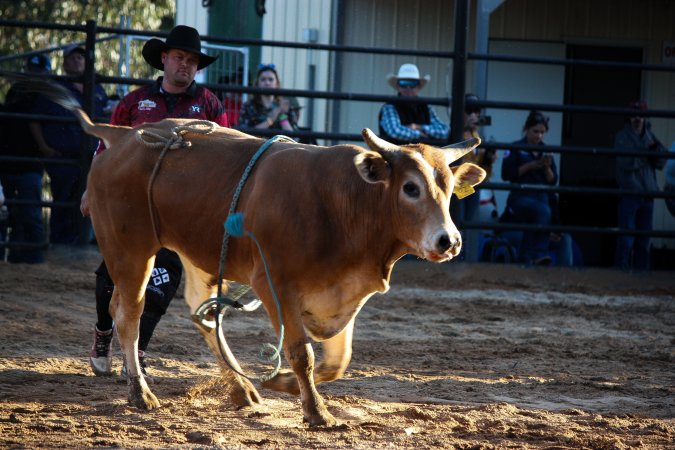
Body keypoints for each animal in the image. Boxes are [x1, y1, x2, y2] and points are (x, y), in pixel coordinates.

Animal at [32, 79, 485, 427]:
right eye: (410, 187)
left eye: (449, 188)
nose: (449, 241)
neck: (346, 201)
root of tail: (121, 135)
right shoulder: (275, 286)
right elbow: (302, 354)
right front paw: (317, 413)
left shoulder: (343, 292)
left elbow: (337, 360)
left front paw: (279, 383)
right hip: (131, 250)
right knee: (128, 315)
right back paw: (140, 391)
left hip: (198, 251)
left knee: (201, 313)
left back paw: (241, 388)